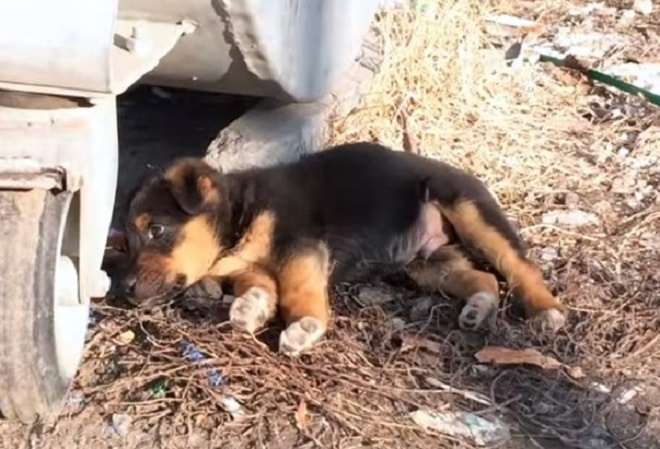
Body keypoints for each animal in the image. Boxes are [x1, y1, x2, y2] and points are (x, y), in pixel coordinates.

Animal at [118, 142, 568, 356]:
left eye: (156, 230)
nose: (124, 289)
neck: (240, 214)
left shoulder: (299, 245)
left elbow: (296, 289)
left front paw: (305, 327)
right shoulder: (253, 264)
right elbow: (259, 286)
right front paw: (250, 309)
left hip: (470, 211)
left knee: (516, 266)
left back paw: (546, 311)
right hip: (425, 263)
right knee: (483, 276)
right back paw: (479, 307)